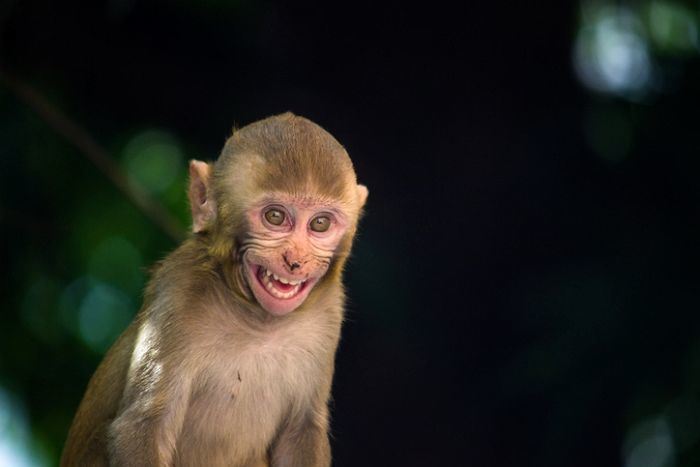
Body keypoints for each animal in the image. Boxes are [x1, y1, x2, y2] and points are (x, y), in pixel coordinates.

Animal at [60, 114, 370, 467]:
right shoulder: (178, 289)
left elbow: (301, 431)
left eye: (320, 224)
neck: (258, 320)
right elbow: (142, 427)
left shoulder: (328, 312)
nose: (296, 260)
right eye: (275, 217)